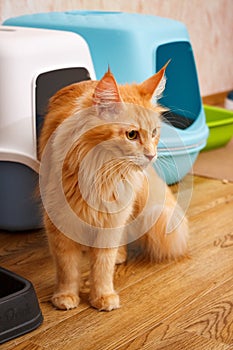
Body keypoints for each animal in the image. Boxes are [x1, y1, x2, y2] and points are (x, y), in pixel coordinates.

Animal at [37, 63, 187, 312]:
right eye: (132, 135)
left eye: (154, 133)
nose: (151, 155)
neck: (101, 174)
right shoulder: (59, 222)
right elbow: (67, 267)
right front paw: (66, 296)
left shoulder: (113, 219)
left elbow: (103, 266)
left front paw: (103, 296)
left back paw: (119, 255)